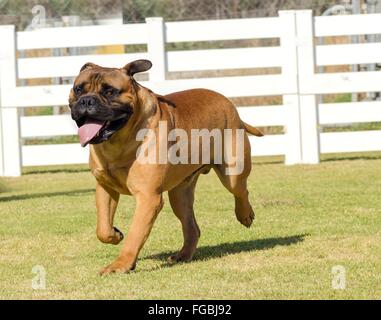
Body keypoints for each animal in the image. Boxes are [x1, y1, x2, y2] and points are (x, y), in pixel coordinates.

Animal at [68, 60, 262, 276]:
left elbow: (135, 234)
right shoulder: (105, 188)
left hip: (232, 172)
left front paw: (120, 265)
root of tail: (228, 103)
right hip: (179, 194)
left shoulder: (148, 198)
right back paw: (182, 255)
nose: (86, 101)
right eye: (78, 89)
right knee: (192, 227)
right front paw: (115, 235)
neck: (118, 142)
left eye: (110, 91)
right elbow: (102, 228)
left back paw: (245, 215)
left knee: (241, 190)